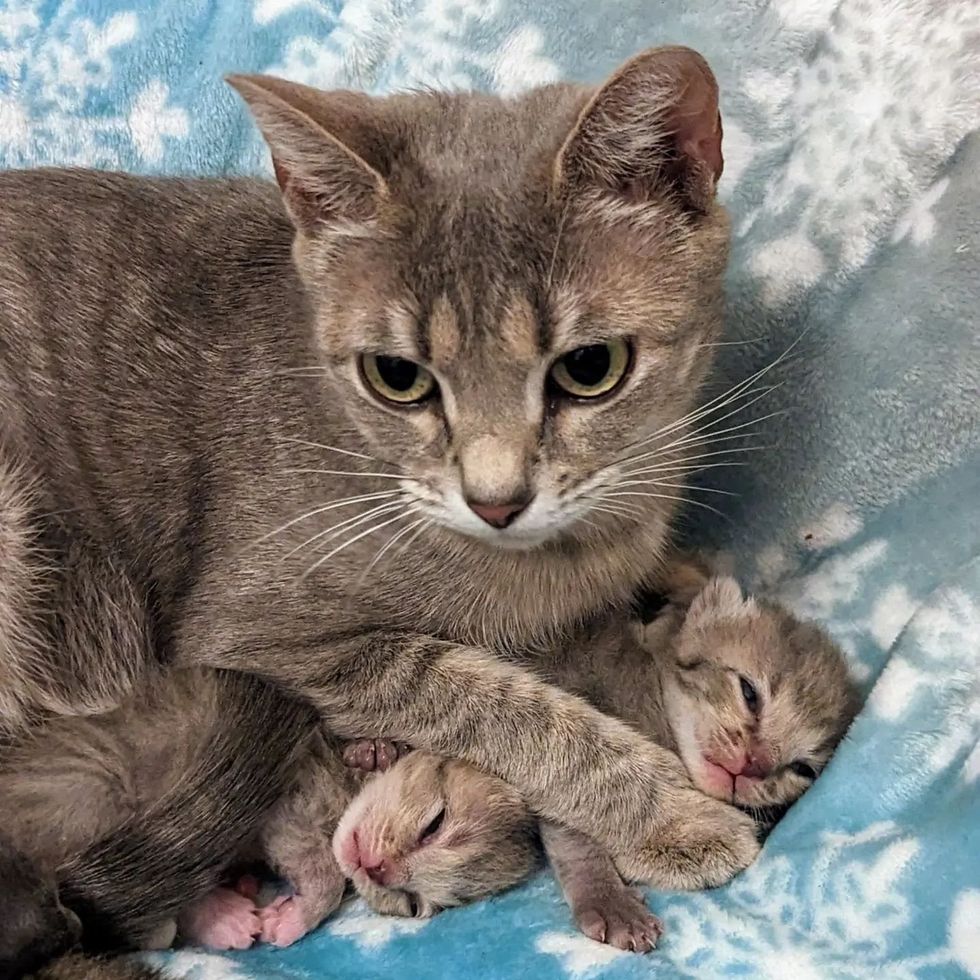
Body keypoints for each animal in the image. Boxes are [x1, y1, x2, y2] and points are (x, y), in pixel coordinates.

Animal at [0, 44, 756, 948]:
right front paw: (673, 817)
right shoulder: (257, 631)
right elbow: (496, 704)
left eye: (590, 366)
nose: (495, 500)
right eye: (396, 376)